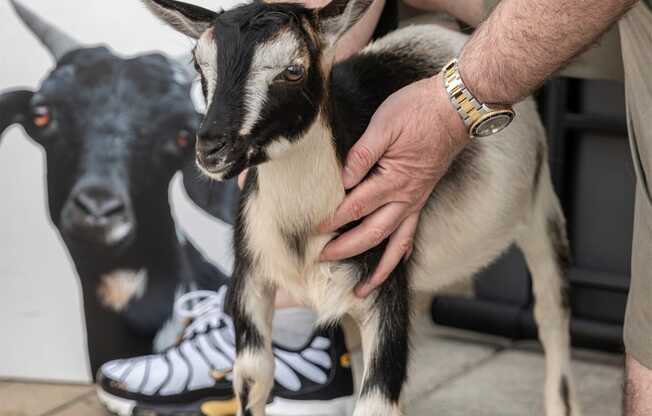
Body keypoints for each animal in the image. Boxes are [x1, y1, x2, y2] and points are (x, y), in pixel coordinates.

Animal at [144, 0, 579, 415]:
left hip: (541, 209)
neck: (303, 231)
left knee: (552, 314)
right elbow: (256, 378)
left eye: (293, 70)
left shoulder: (384, 280)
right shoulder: (252, 281)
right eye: (198, 64)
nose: (212, 148)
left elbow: (376, 401)